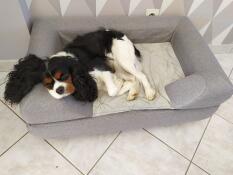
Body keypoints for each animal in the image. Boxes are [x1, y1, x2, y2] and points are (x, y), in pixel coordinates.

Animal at [4, 28, 157, 104]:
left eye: (64, 76)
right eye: (47, 84)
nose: (59, 89)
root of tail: (118, 33)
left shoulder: (101, 67)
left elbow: (112, 91)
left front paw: (118, 85)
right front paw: (124, 86)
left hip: (123, 59)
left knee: (141, 75)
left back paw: (149, 92)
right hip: (118, 66)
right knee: (133, 78)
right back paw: (133, 92)